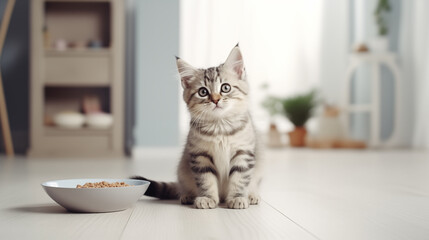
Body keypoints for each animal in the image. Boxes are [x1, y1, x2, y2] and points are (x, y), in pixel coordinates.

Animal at [132, 44, 262, 208]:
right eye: (203, 92)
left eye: (225, 88)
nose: (215, 100)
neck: (220, 127)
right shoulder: (200, 156)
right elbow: (206, 181)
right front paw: (207, 198)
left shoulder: (243, 154)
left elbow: (239, 180)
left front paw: (237, 198)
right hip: (183, 172)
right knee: (183, 188)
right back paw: (188, 196)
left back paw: (251, 196)